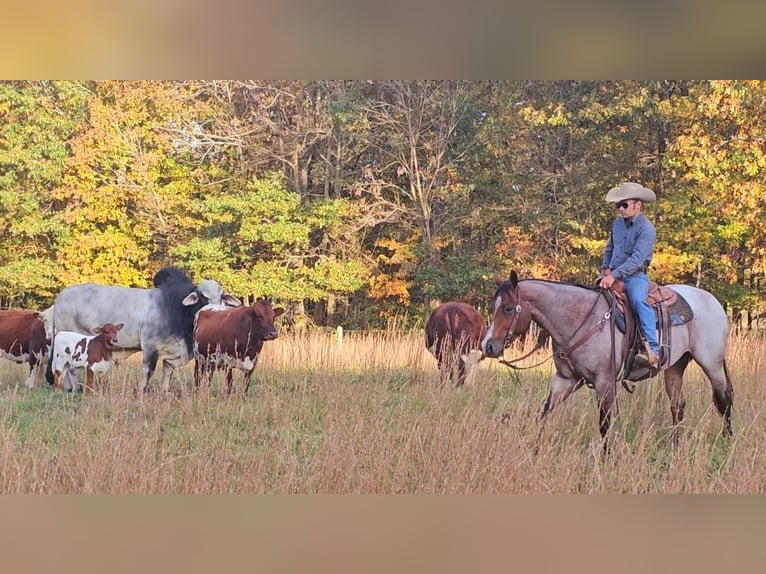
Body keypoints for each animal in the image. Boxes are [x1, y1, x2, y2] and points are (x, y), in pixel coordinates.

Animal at [46, 268, 242, 394]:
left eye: (221, 296)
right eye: (203, 296)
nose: (216, 310)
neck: (176, 309)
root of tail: (61, 295)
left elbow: (168, 368)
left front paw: (164, 391)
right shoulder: (150, 346)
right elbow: (148, 371)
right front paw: (143, 391)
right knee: (70, 367)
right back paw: (76, 388)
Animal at [484, 272, 736, 448]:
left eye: (508, 308)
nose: (488, 346)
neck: (581, 319)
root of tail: (713, 301)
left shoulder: (604, 382)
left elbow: (604, 424)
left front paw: (605, 459)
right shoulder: (566, 379)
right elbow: (543, 412)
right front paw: (533, 447)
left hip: (711, 363)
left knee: (723, 401)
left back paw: (727, 441)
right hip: (675, 366)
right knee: (678, 405)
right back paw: (675, 445)